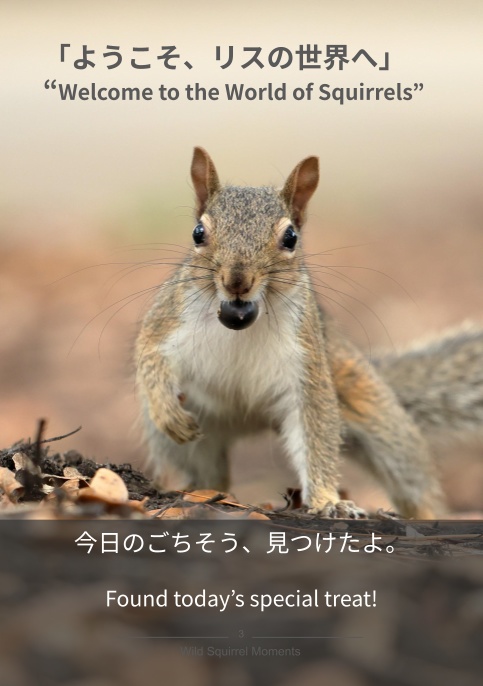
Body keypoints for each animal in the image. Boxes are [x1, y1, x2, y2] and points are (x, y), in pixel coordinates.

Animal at [135, 147, 483, 518]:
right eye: (198, 233)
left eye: (290, 238)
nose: (237, 281)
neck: (242, 318)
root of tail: (250, 422)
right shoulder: (167, 319)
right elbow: (149, 355)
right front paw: (167, 411)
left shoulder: (308, 363)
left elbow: (315, 431)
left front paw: (328, 502)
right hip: (196, 436)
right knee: (206, 471)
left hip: (379, 419)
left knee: (414, 481)